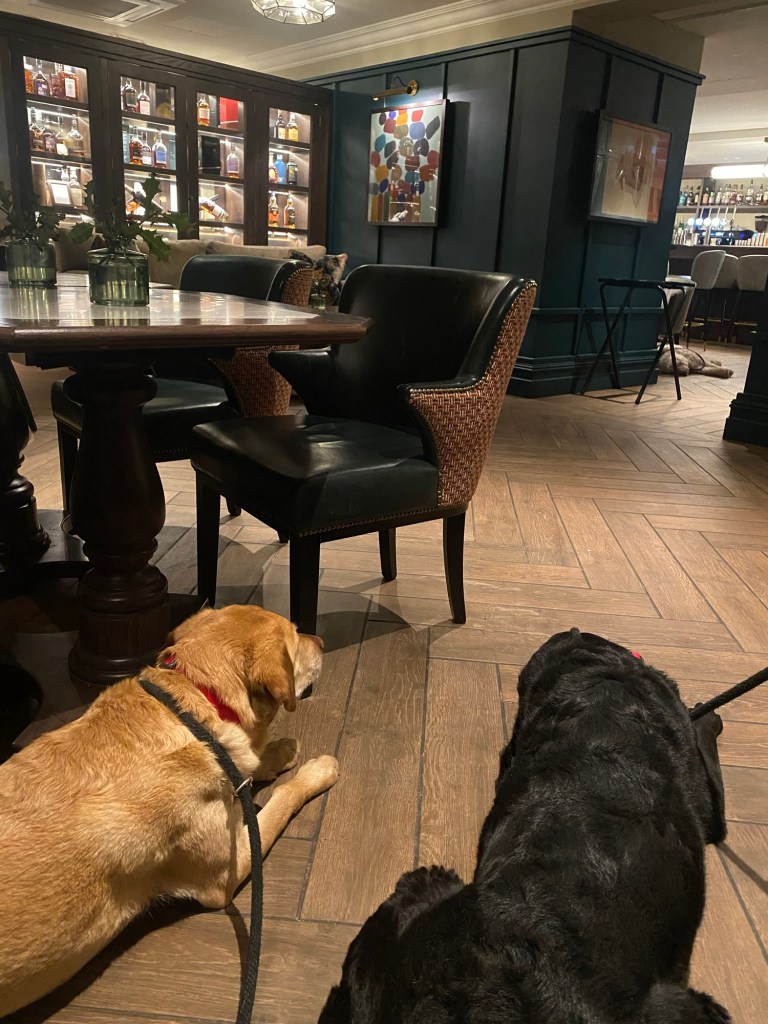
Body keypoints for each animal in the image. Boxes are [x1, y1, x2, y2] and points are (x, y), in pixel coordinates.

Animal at [0, 604, 339, 1016]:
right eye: (295, 636)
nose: (321, 640)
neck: (190, 704)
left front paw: (275, 753)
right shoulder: (227, 871)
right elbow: (282, 799)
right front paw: (316, 771)